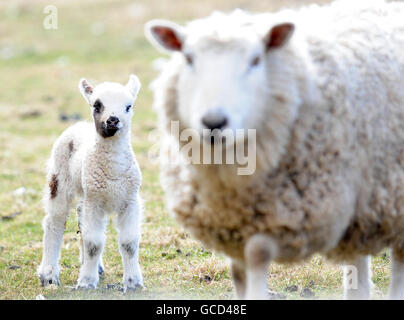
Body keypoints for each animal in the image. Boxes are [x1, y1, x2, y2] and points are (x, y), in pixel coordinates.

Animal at [36, 74, 144, 292]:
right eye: (96, 105)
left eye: (128, 106)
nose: (113, 120)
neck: (113, 172)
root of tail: (79, 125)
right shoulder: (95, 202)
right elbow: (94, 243)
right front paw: (86, 282)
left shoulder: (130, 200)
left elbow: (129, 243)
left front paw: (133, 283)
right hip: (58, 178)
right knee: (54, 222)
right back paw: (49, 275)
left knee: (79, 217)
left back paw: (96, 267)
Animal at [147, 0, 404, 300]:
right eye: (188, 58)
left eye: (256, 60)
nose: (214, 123)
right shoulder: (233, 226)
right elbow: (239, 274)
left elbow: (258, 256)